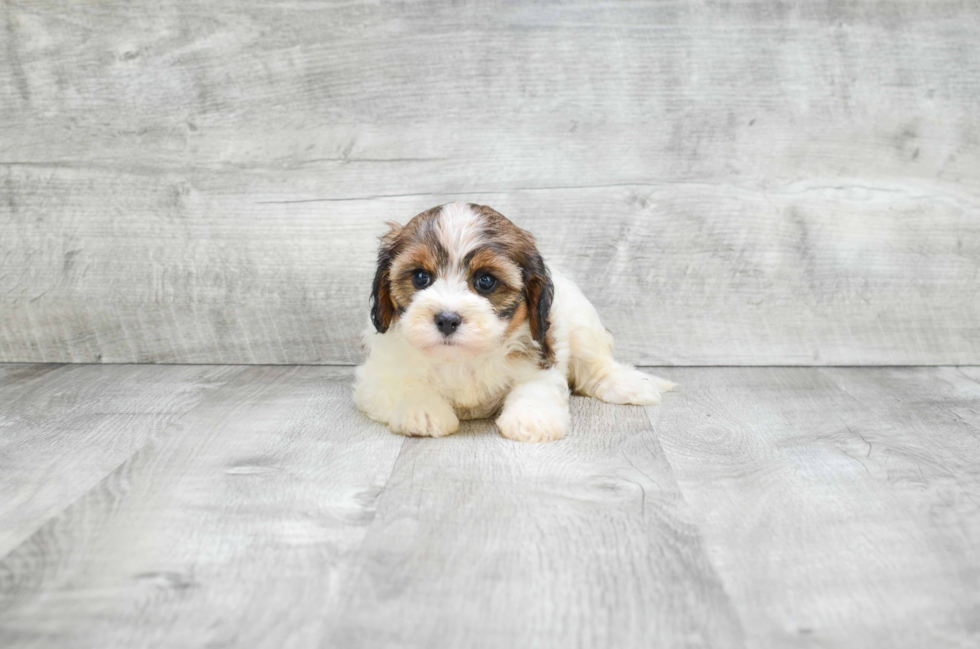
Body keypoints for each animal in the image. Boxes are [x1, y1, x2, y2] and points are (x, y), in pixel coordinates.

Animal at [356, 201, 676, 440]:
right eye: (421, 277)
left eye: (486, 281)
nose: (447, 319)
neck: (461, 359)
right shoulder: (377, 376)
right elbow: (406, 384)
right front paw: (422, 411)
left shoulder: (541, 354)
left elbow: (534, 385)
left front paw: (532, 419)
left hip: (583, 325)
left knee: (596, 365)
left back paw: (630, 384)